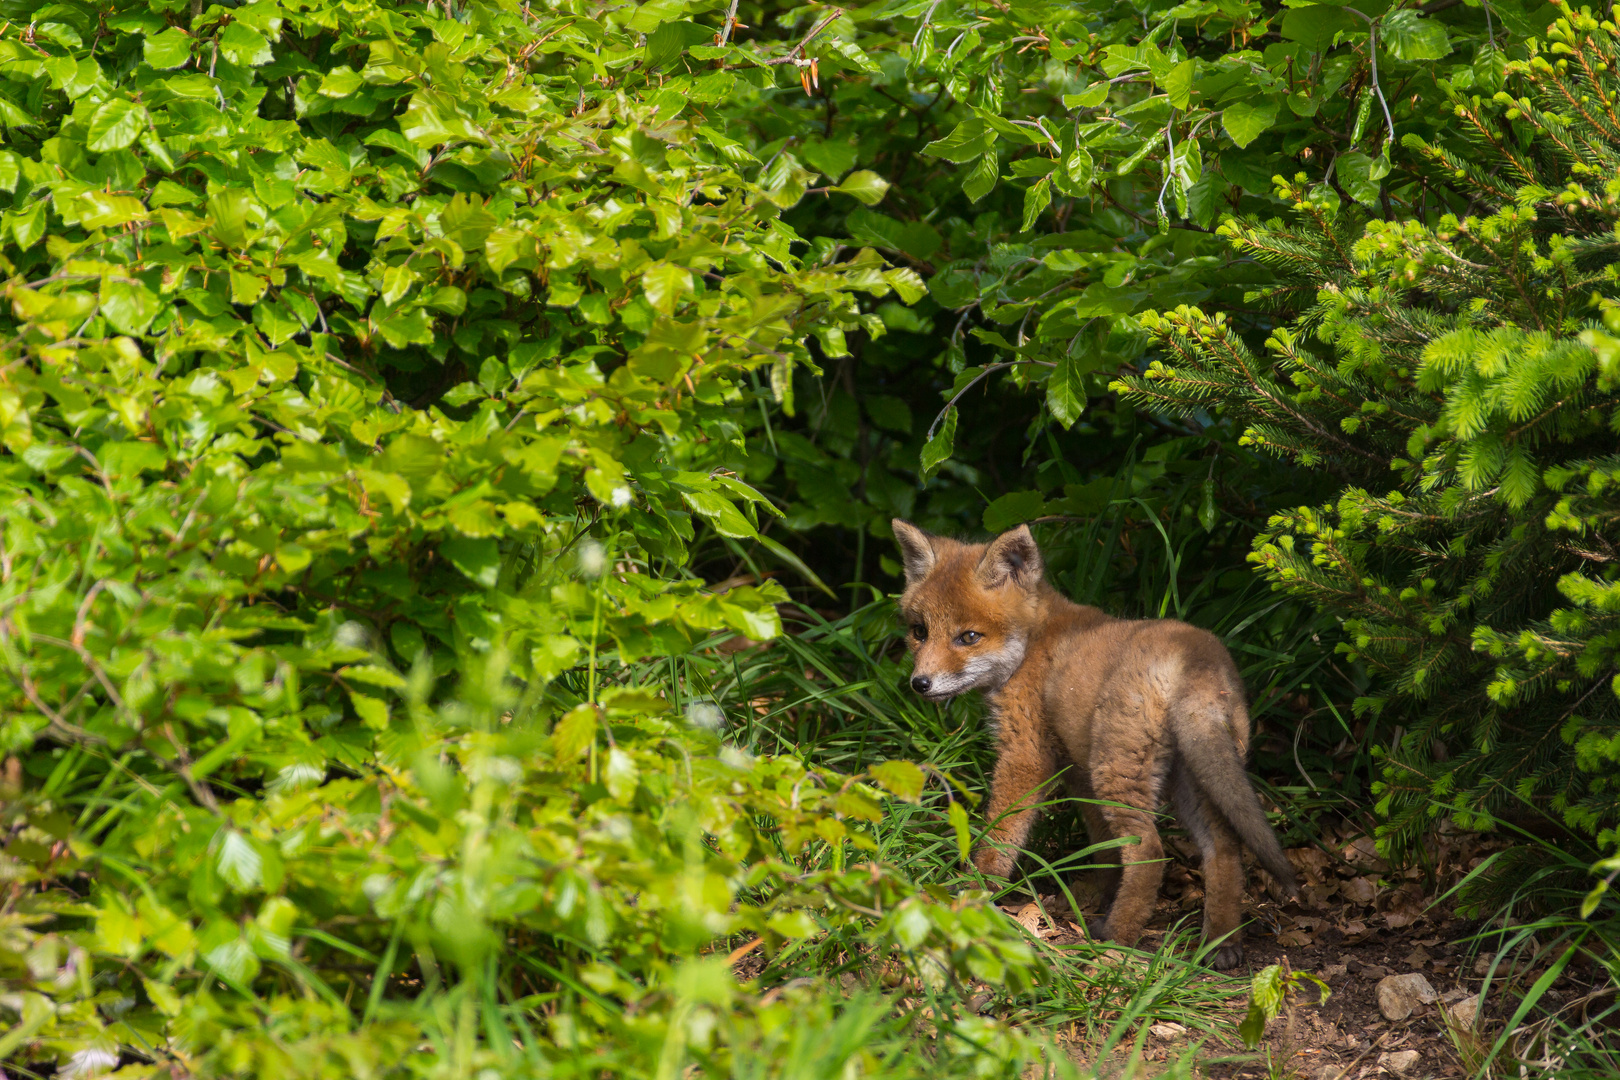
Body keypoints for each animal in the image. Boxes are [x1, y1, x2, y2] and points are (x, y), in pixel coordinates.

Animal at [894, 518, 1296, 965]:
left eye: (968, 636)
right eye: (919, 632)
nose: (920, 684)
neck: (1033, 645)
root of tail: (1194, 655)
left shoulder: (1026, 755)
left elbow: (1001, 837)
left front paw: (974, 894)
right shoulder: (1078, 773)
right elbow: (1104, 849)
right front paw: (1102, 899)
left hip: (1120, 773)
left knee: (1150, 851)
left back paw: (1118, 939)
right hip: (1190, 777)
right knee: (1223, 849)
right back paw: (1220, 941)